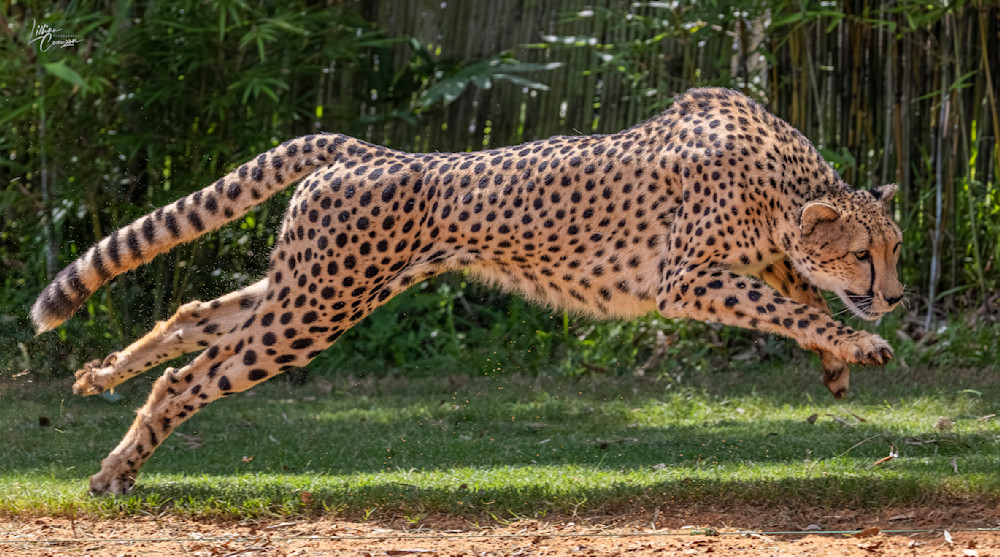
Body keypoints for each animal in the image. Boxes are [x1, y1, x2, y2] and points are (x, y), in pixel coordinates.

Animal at [31, 87, 904, 495]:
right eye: (866, 254)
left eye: (896, 251)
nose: (895, 296)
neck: (785, 186)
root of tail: (368, 150)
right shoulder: (685, 279)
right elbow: (788, 302)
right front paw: (857, 342)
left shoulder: (742, 263)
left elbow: (798, 297)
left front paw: (837, 359)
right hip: (316, 305)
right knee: (192, 378)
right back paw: (115, 470)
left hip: (309, 285)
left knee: (194, 316)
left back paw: (102, 380)